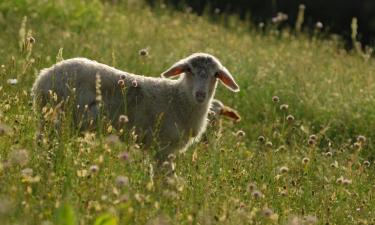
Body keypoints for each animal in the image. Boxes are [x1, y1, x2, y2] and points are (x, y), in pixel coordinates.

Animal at [30, 52, 239, 160]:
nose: (201, 94)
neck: (179, 97)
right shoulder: (163, 148)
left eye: (215, 75)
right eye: (189, 70)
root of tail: (42, 77)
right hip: (56, 119)